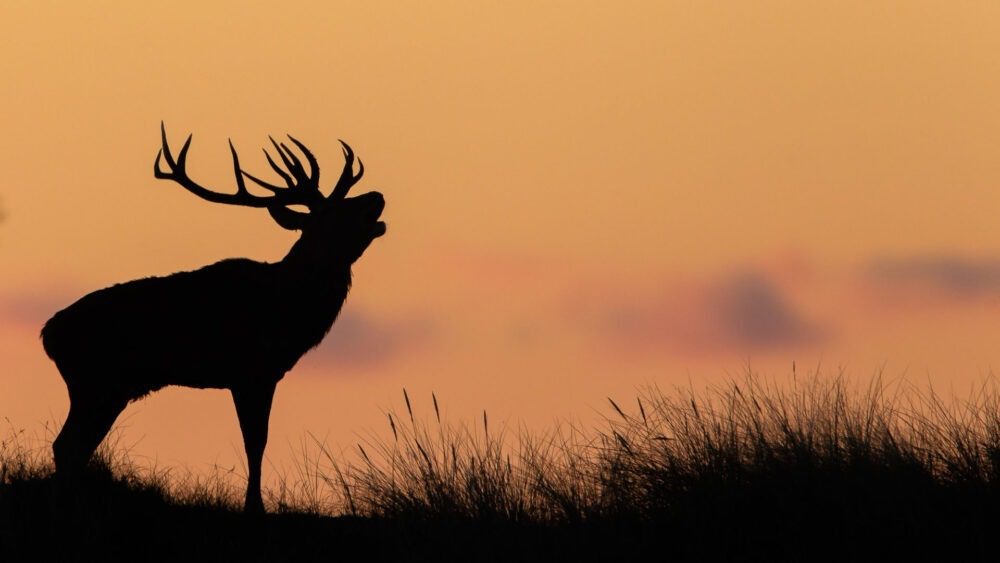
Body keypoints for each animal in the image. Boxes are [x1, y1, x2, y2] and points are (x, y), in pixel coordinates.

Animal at [41, 123, 386, 513]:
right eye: (332, 213)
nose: (376, 196)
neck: (287, 307)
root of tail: (48, 334)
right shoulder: (252, 371)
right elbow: (256, 441)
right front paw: (254, 507)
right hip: (95, 383)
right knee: (67, 445)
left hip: (107, 390)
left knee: (75, 447)